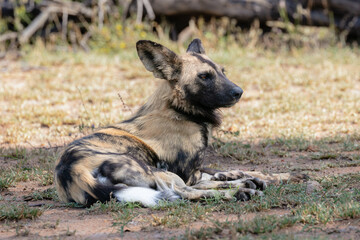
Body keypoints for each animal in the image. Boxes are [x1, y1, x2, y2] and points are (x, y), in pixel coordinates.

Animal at [54, 39, 296, 206]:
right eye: (204, 76)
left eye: (222, 72)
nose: (239, 92)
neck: (181, 111)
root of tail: (70, 170)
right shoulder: (188, 175)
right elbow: (208, 180)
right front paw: (244, 181)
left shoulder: (195, 170)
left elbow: (232, 171)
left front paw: (272, 176)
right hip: (156, 172)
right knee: (184, 193)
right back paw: (241, 192)